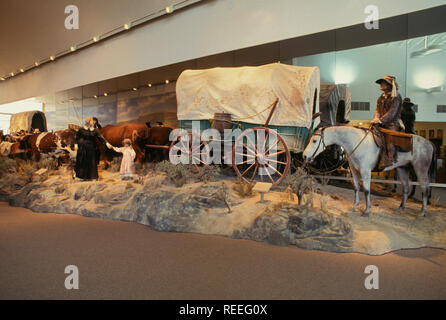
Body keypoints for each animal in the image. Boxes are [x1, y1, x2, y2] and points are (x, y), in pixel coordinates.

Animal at [304, 126, 436, 216]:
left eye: (314, 141)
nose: (304, 156)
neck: (356, 142)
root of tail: (429, 143)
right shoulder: (354, 171)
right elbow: (356, 188)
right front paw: (355, 206)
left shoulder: (365, 171)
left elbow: (367, 190)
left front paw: (367, 210)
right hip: (402, 169)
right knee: (406, 188)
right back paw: (401, 208)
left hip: (421, 169)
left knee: (425, 188)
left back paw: (422, 212)